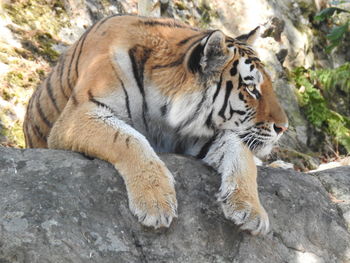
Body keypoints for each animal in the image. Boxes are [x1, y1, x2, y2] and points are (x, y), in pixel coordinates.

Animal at [23, 14, 288, 236]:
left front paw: (251, 210)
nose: (283, 128)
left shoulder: (202, 134)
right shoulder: (79, 114)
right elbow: (129, 139)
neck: (165, 107)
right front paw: (155, 202)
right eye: (251, 89)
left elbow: (242, 155)